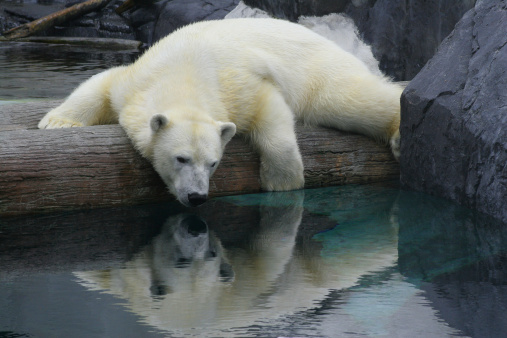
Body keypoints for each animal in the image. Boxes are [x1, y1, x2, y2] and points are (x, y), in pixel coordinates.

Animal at [38, 19, 404, 209]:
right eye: (181, 158)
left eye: (214, 163)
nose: (197, 196)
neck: (184, 71)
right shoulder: (136, 81)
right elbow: (101, 83)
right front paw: (56, 122)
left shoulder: (238, 84)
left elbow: (269, 108)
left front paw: (282, 180)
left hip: (320, 72)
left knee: (349, 99)